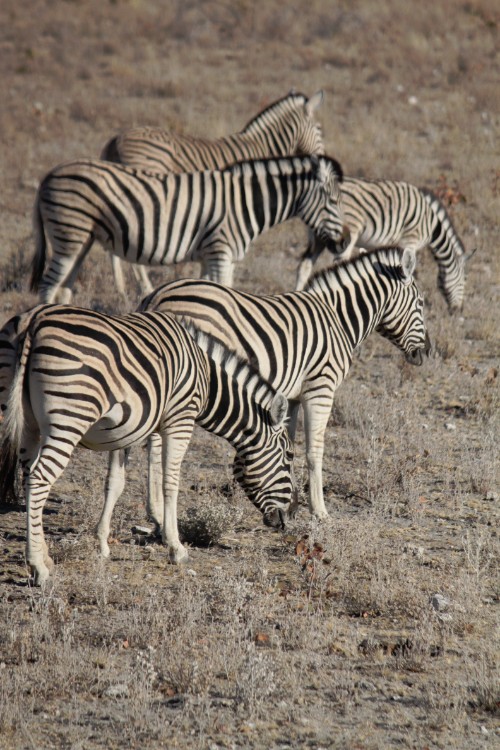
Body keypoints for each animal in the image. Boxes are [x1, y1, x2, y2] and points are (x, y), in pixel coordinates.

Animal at [0, 302, 294, 584]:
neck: (208, 380)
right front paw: (176, 548)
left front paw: (102, 544)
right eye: (289, 457)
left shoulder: (124, 429)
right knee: (40, 478)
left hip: (26, 424)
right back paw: (38, 567)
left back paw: (46, 556)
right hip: (68, 419)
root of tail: (33, 321)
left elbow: (115, 484)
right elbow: (170, 483)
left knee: (29, 477)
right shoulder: (179, 419)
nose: (288, 519)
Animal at [30, 154, 348, 304]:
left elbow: (208, 290)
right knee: (48, 286)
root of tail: (49, 175)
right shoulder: (221, 251)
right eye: (334, 200)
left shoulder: (210, 255)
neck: (243, 201)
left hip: (81, 240)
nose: (345, 242)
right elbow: (225, 290)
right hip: (69, 234)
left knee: (64, 287)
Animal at [139, 248, 432, 524]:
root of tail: (156, 295)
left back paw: (155, 513)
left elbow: (288, 445)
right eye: (420, 303)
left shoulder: (291, 398)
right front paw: (319, 511)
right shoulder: (320, 388)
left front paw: (291, 506)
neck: (338, 318)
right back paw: (158, 514)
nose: (428, 352)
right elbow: (315, 451)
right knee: (155, 446)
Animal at [294, 177, 474, 312]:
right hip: (347, 233)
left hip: (320, 237)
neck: (431, 224)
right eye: (464, 280)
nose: (458, 310)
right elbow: (410, 271)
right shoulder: (410, 240)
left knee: (305, 265)